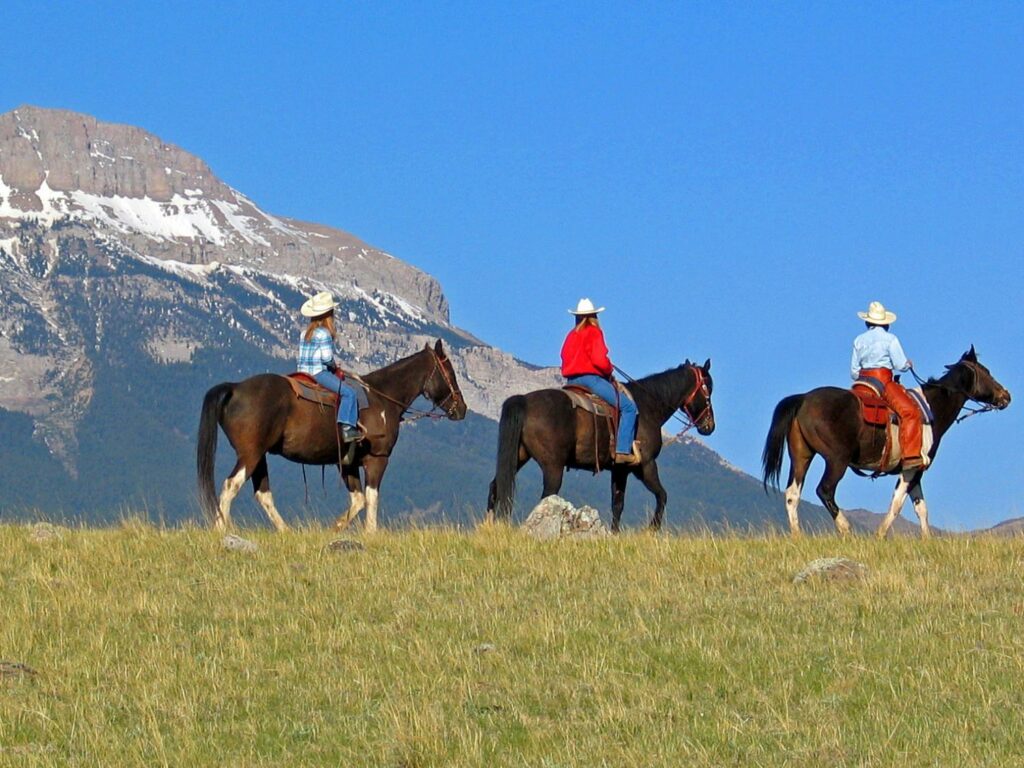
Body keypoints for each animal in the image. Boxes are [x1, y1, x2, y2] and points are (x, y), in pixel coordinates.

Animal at [196, 342, 468, 536]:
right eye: (450, 372)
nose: (462, 409)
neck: (382, 398)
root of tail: (235, 387)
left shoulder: (346, 463)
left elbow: (358, 499)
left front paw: (336, 528)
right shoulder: (377, 458)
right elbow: (371, 497)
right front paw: (371, 534)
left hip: (259, 456)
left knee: (262, 493)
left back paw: (285, 531)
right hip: (250, 454)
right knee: (230, 486)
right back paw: (223, 528)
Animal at [485, 362, 712, 532]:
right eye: (708, 388)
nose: (709, 426)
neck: (647, 407)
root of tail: (524, 400)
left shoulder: (620, 469)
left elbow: (617, 504)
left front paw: (614, 533)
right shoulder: (645, 465)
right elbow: (662, 495)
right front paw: (652, 529)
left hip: (518, 456)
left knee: (496, 486)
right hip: (553, 467)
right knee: (547, 497)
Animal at [761, 346, 1007, 536]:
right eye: (986, 372)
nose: (1006, 396)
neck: (931, 409)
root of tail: (803, 399)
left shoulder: (916, 472)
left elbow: (921, 508)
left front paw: (927, 539)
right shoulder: (911, 469)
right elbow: (897, 504)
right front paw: (880, 534)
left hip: (802, 456)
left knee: (792, 494)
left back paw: (797, 535)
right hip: (836, 460)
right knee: (825, 490)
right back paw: (846, 529)